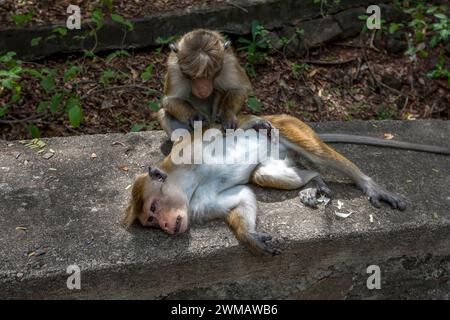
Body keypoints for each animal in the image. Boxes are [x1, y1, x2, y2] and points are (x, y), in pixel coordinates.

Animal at [124, 113, 450, 255]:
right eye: (151, 221)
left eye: (153, 209)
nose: (165, 226)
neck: (189, 184)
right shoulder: (196, 206)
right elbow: (242, 195)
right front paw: (250, 236)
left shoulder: (188, 152)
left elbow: (212, 129)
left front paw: (248, 123)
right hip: (278, 157)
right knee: (265, 174)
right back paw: (314, 182)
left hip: (290, 126)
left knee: (315, 151)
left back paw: (367, 185)